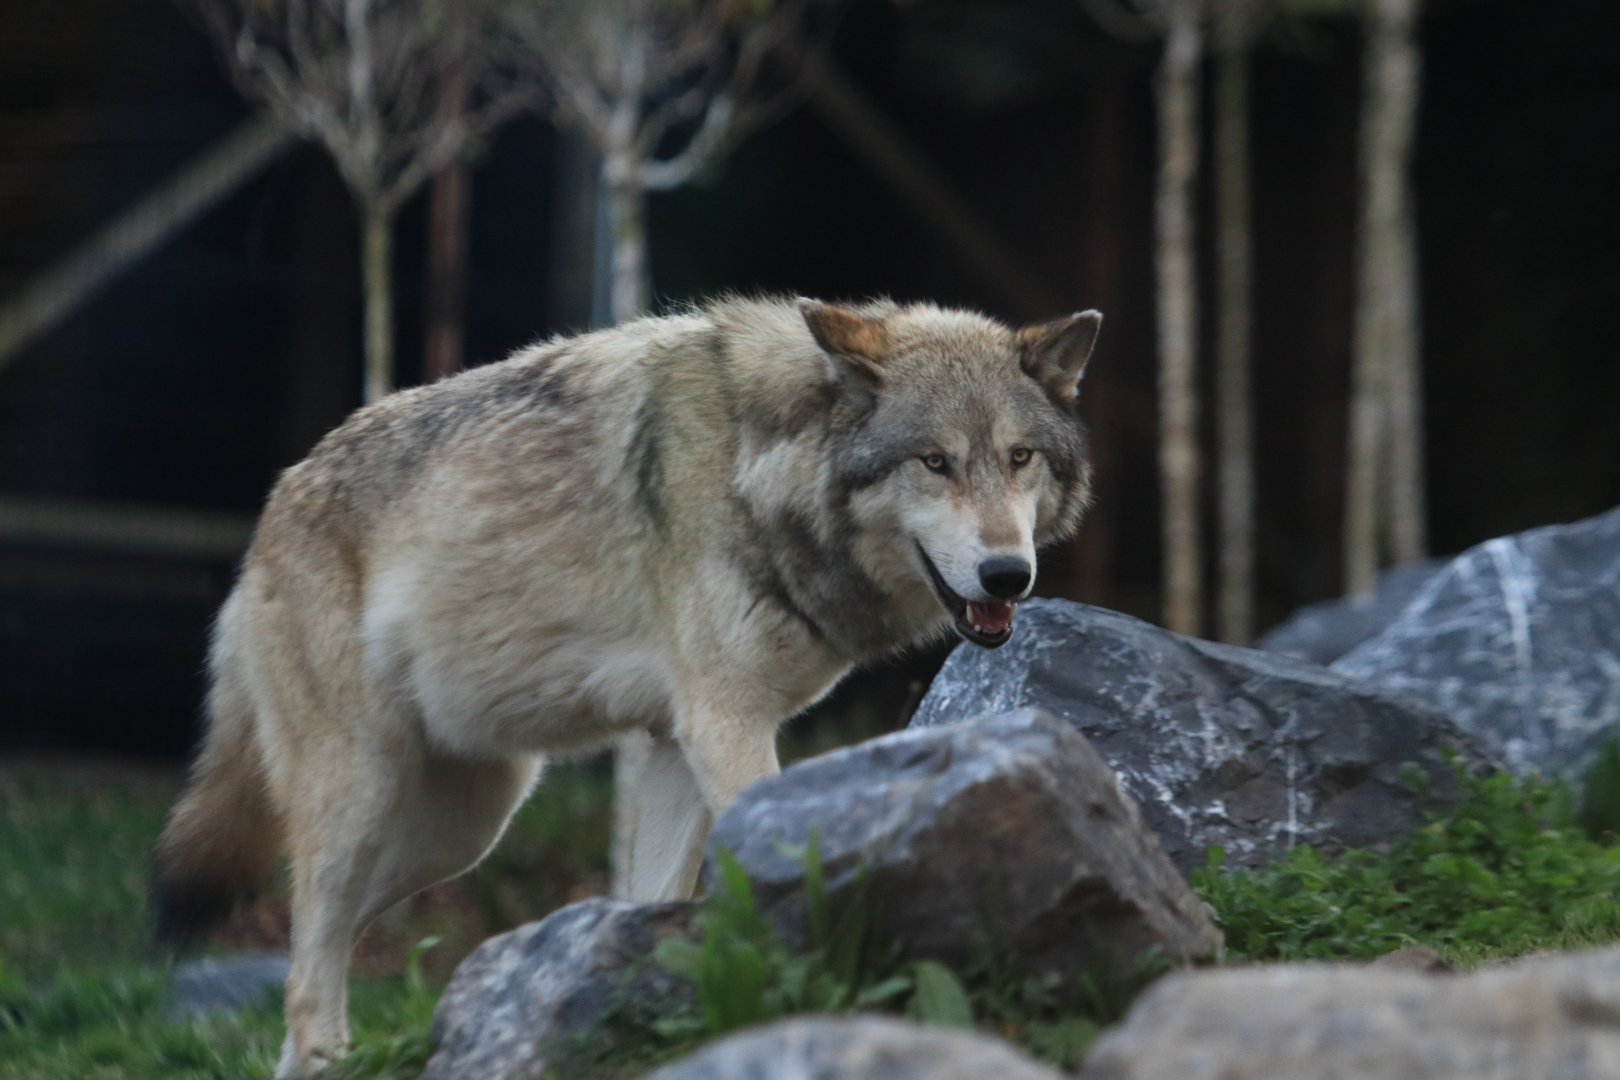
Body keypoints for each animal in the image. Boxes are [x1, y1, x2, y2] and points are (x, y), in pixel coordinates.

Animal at [152, 295, 1101, 1077]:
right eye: (934, 462)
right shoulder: (723, 724)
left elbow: (653, 902)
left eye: (1019, 458)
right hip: (366, 798)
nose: (1008, 574)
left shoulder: (673, 745)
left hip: (463, 830)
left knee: (314, 944)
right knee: (309, 956)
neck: (757, 468)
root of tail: (276, 503)